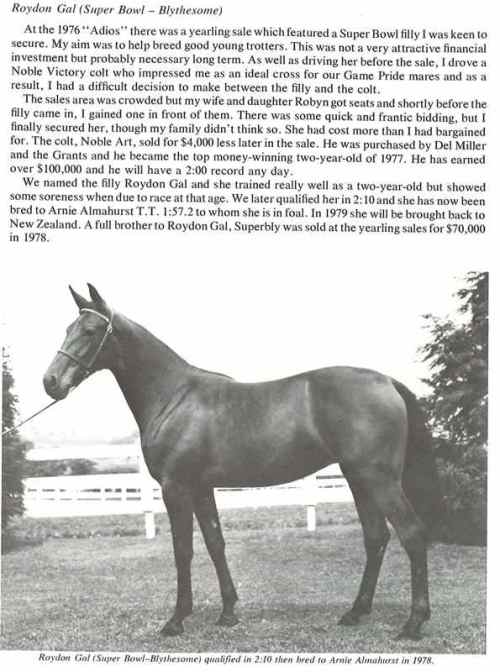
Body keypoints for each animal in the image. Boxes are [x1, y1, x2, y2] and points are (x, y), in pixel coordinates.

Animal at [43, 284, 441, 640]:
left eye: (90, 331)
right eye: (68, 328)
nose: (51, 381)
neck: (174, 395)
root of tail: (386, 381)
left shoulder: (176, 488)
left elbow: (183, 550)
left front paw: (176, 620)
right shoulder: (202, 489)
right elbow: (215, 544)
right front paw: (228, 613)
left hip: (379, 480)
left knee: (412, 534)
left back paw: (413, 623)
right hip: (358, 479)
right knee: (376, 537)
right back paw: (355, 613)